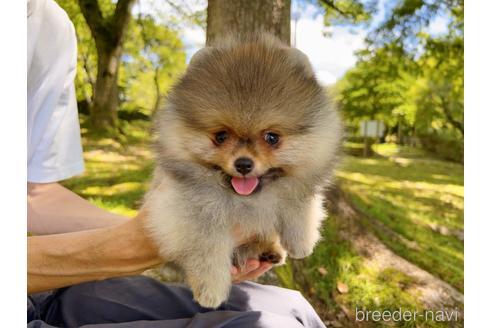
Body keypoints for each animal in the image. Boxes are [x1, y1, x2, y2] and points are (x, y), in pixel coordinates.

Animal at [142, 33, 342, 308]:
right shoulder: (190, 212)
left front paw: (302, 241)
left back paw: (270, 250)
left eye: (272, 137)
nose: (244, 164)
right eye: (220, 136)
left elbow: (300, 206)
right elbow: (207, 250)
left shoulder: (298, 182)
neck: (247, 200)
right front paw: (211, 290)